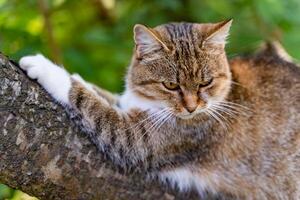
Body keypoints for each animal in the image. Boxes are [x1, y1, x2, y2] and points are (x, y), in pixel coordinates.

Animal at [19, 19, 300, 199]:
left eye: (205, 82)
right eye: (171, 85)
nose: (191, 108)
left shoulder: (133, 138)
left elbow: (85, 98)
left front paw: (44, 66)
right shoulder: (128, 104)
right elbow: (98, 91)